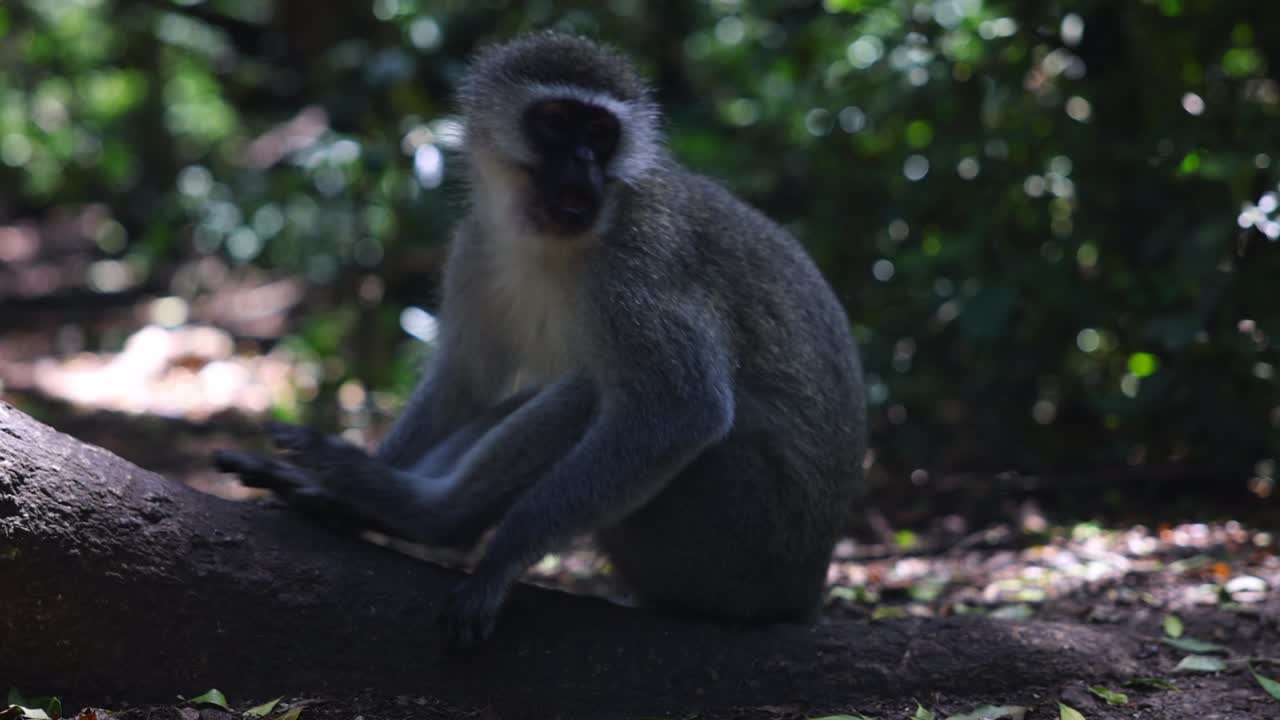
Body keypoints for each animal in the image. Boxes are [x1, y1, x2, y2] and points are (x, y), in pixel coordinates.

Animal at [214, 31, 867, 650]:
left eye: (599, 131)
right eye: (554, 120)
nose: (581, 159)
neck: (554, 239)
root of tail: (801, 592)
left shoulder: (640, 267)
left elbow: (683, 407)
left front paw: (500, 553)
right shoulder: (475, 246)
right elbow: (465, 383)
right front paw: (335, 501)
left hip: (732, 539)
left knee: (596, 390)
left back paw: (431, 519)